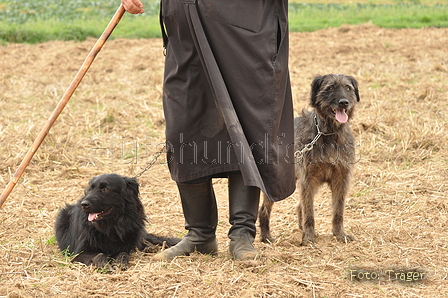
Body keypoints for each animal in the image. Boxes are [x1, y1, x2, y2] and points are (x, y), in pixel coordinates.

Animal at [260, 75, 360, 247]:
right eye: (330, 88)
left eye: (348, 88)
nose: (344, 102)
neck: (328, 133)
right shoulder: (308, 179)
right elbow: (309, 211)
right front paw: (309, 237)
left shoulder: (341, 178)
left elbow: (338, 210)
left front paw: (339, 234)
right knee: (265, 209)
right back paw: (266, 236)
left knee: (299, 206)